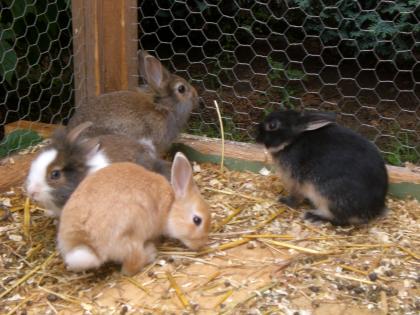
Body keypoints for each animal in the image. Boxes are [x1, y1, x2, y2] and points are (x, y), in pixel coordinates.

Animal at [56, 153, 210, 276]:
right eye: (197, 220)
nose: (200, 245)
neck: (170, 207)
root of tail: (87, 242)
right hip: (131, 235)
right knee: (131, 267)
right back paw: (150, 252)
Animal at [256, 110, 390, 226]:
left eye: (272, 125)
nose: (257, 137)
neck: (292, 141)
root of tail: (374, 211)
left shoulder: (293, 180)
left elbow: (296, 196)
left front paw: (284, 201)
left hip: (329, 197)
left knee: (339, 218)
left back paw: (313, 216)